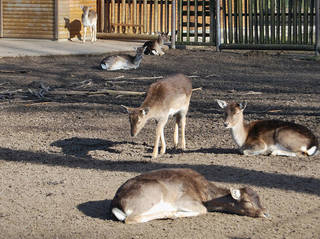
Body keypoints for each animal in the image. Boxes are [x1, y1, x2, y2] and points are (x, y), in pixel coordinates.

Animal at [110, 168, 268, 224]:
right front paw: (176, 213)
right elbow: (203, 210)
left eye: (259, 199)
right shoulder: (185, 201)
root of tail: (117, 204)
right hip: (151, 197)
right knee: (131, 219)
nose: (265, 213)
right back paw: (170, 213)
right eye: (247, 201)